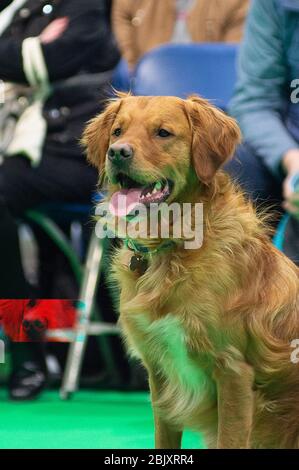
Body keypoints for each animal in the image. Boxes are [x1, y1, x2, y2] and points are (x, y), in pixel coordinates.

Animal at [82, 93, 299, 450]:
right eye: (117, 132)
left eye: (163, 133)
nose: (117, 152)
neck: (173, 243)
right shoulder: (159, 372)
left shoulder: (233, 371)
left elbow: (230, 440)